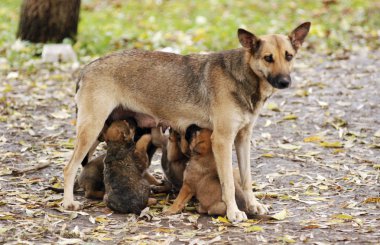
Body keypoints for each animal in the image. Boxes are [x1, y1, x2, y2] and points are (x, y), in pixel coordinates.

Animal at [62, 23, 310, 222]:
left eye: (289, 56)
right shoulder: (222, 140)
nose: (285, 82)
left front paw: (253, 204)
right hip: (91, 129)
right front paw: (233, 212)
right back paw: (68, 203)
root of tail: (87, 67)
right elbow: (228, 182)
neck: (242, 76)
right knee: (69, 166)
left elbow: (247, 178)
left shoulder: (242, 139)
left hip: (99, 132)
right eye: (268, 58)